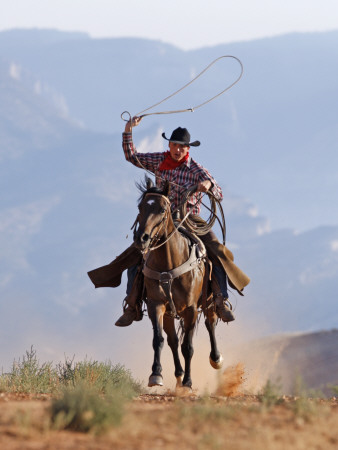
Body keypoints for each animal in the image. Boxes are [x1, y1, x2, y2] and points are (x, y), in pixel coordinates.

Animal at [133, 178, 223, 388]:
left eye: (162, 209)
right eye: (141, 207)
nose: (141, 238)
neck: (169, 263)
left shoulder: (191, 309)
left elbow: (188, 347)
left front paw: (188, 383)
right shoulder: (156, 305)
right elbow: (159, 340)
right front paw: (156, 374)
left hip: (208, 302)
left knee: (210, 324)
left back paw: (215, 358)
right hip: (169, 313)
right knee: (173, 340)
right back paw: (178, 375)